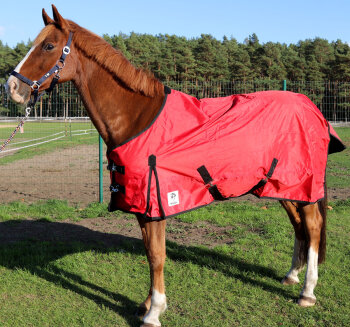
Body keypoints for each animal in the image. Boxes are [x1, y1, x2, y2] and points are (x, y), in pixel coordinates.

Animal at [5, 4, 334, 326]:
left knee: (312, 226)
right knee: (298, 226)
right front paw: (147, 303)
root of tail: (310, 107)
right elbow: (149, 251)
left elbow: (156, 255)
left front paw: (154, 312)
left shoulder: (156, 201)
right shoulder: (143, 205)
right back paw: (291, 276)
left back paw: (308, 292)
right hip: (280, 186)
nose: (11, 87)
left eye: (48, 45)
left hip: (301, 184)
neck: (137, 118)